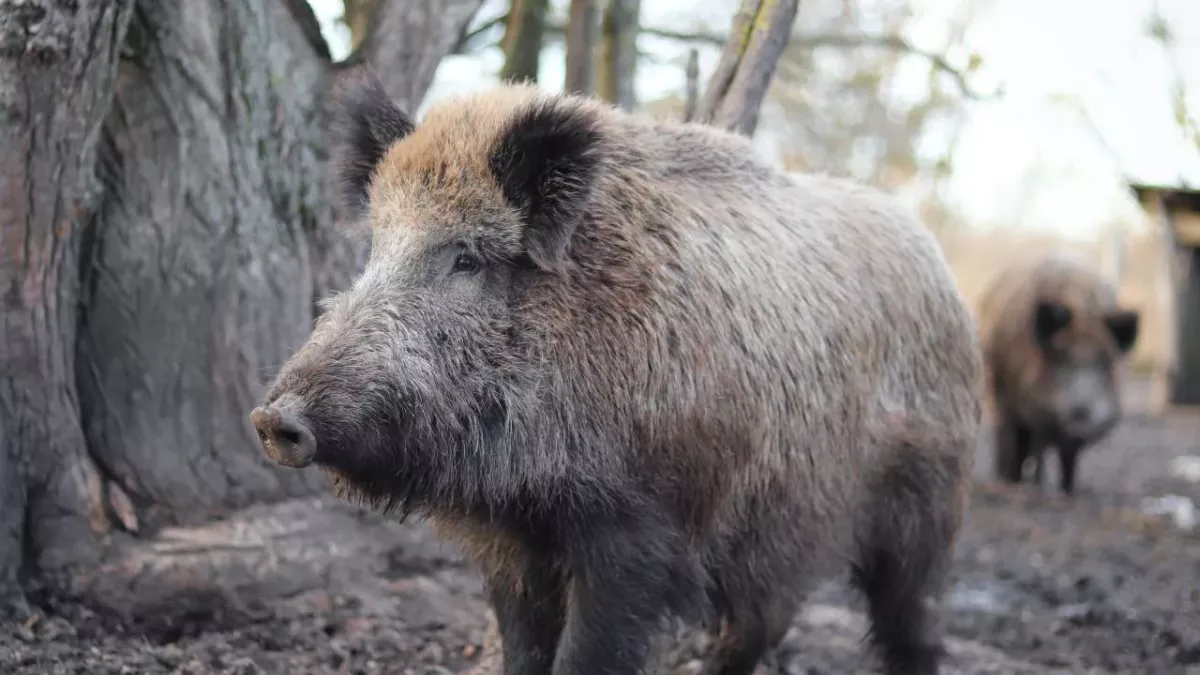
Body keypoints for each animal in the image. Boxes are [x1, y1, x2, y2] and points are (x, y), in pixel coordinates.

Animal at [250, 66, 983, 675]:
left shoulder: (642, 531)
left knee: (913, 623)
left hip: (928, 503)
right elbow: (523, 650)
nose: (271, 417)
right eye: (377, 246)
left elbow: (590, 654)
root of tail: (942, 269)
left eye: (466, 257)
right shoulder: (510, 540)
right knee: (763, 622)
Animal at [977, 254, 1139, 495]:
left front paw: (1068, 490)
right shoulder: (1023, 406)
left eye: (1104, 362)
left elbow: (1068, 457)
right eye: (1060, 358)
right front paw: (1035, 486)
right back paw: (1009, 480)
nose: (1081, 410)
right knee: (1010, 440)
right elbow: (1030, 446)